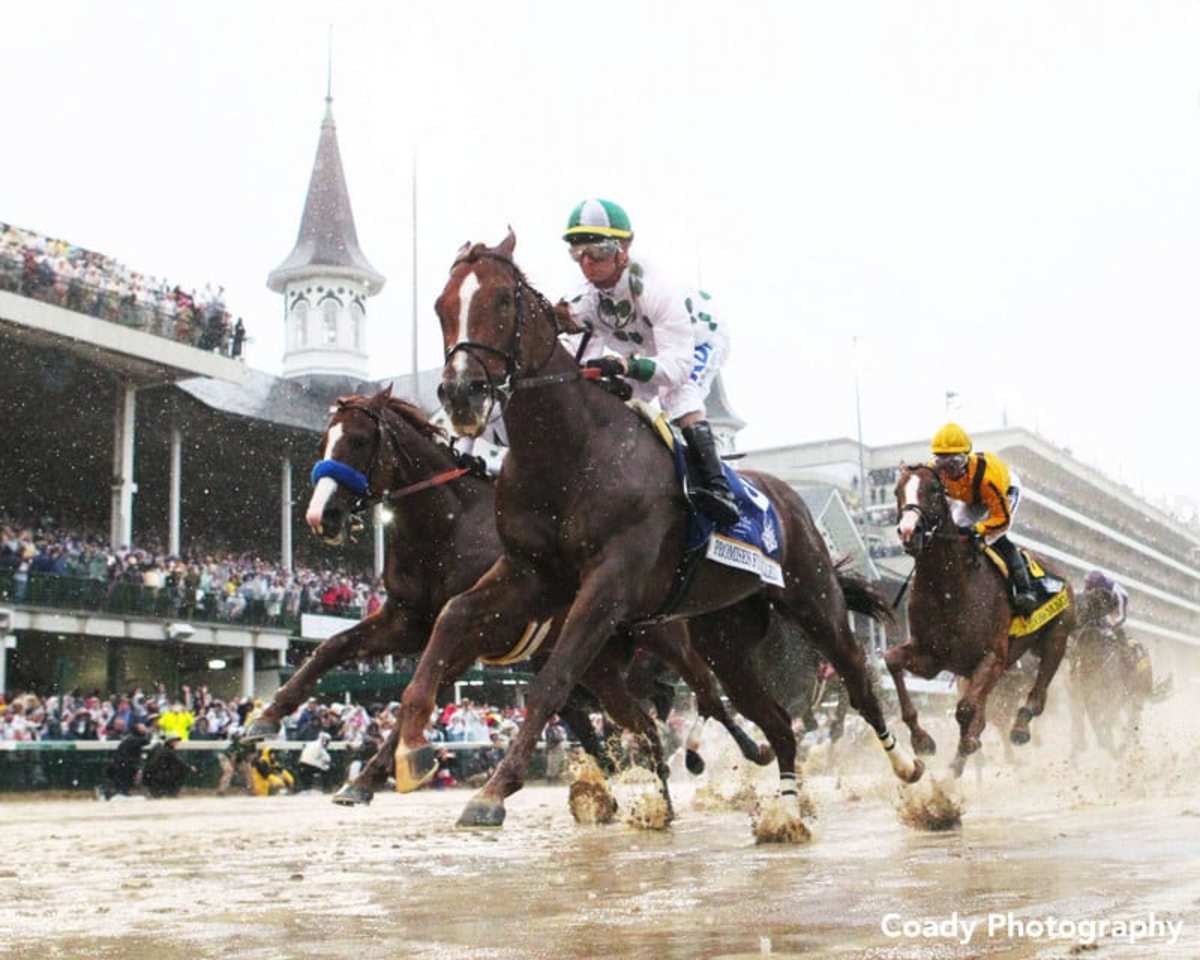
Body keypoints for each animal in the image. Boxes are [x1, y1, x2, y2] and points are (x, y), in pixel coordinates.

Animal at [249, 388, 768, 801]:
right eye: (324, 442)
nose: (322, 515)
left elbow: (418, 691)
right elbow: (333, 647)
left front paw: (394, 766)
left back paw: (744, 750)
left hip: (661, 636)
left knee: (706, 691)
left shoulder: (472, 634)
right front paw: (268, 718)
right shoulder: (410, 619)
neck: (447, 530)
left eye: (358, 440)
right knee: (639, 720)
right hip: (599, 665)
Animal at [393, 232, 916, 830]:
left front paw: (493, 792)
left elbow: (554, 680)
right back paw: (784, 812)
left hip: (813, 599)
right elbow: (452, 618)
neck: (571, 452)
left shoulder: (609, 585)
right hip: (725, 640)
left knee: (855, 680)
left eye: (502, 299)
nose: (461, 393)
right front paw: (412, 747)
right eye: (441, 306)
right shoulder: (533, 573)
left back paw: (913, 772)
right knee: (775, 720)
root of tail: (791, 500)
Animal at [888, 460, 1075, 777]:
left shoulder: (992, 657)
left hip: (1055, 639)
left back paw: (1021, 727)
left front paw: (966, 746)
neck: (949, 588)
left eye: (934, 490)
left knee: (1038, 695)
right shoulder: (930, 657)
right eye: (897, 491)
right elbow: (891, 660)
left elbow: (966, 710)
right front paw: (922, 741)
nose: (909, 531)